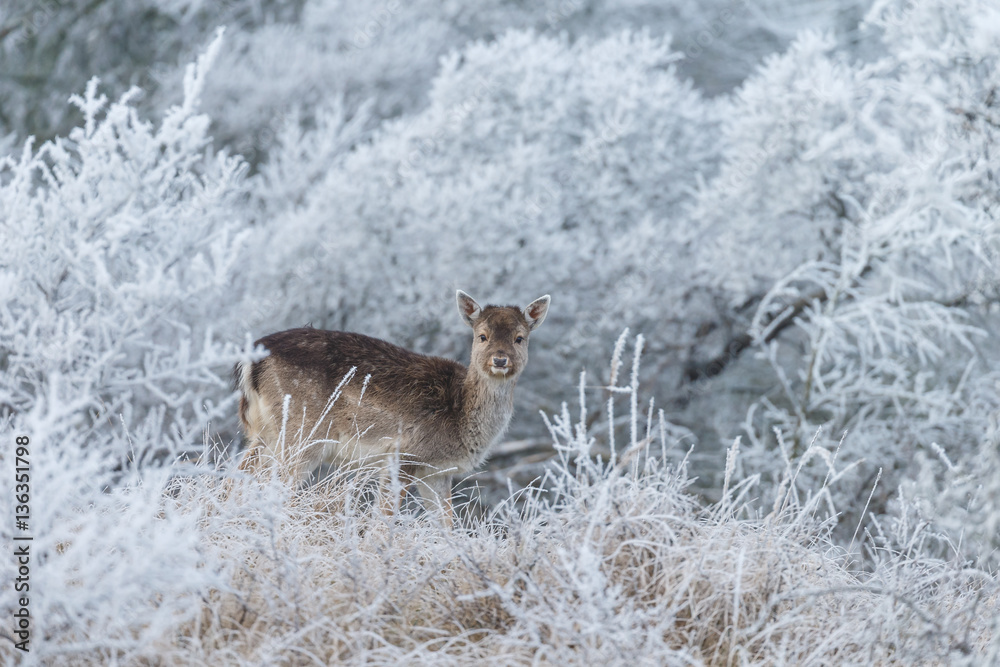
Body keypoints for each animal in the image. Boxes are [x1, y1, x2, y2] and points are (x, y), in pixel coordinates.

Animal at [233, 290, 550, 525]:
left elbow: (447, 525)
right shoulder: (404, 453)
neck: (460, 418)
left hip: (266, 432)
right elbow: (383, 519)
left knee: (234, 479)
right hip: (302, 433)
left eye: (519, 338)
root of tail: (252, 360)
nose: (500, 360)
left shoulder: (436, 472)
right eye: (482, 335)